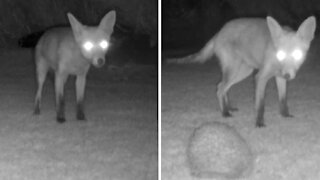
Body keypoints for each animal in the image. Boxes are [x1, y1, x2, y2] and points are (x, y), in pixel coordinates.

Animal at [169, 16, 316, 127]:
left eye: (297, 54)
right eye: (280, 54)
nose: (288, 75)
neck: (275, 58)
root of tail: (220, 31)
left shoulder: (280, 78)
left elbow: (283, 100)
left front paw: (285, 115)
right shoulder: (260, 77)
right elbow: (260, 104)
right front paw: (259, 123)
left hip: (243, 72)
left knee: (221, 87)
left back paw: (228, 107)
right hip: (235, 71)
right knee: (220, 89)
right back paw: (225, 113)